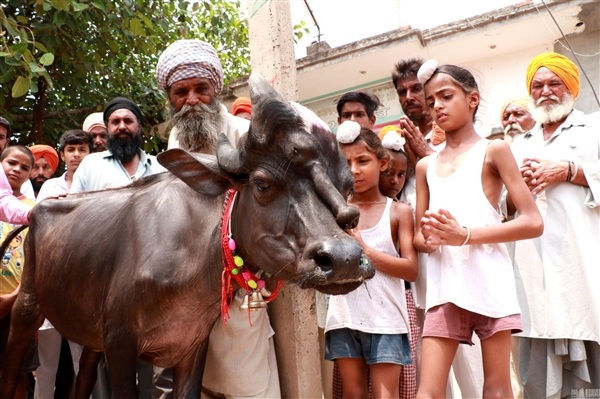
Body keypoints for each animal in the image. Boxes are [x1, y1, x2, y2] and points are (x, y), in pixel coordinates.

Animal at [0, 76, 372, 399]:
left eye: (347, 187)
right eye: (263, 183)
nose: (344, 259)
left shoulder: (192, 345)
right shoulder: (119, 343)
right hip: (28, 306)